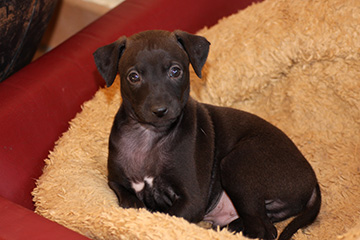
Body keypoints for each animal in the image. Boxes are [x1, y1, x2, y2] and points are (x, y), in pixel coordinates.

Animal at [93, 30, 320, 240]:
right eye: (133, 77)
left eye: (175, 71)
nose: (160, 110)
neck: (149, 137)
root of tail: (312, 179)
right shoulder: (116, 182)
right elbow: (129, 202)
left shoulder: (192, 200)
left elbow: (166, 217)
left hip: (236, 163)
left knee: (265, 230)